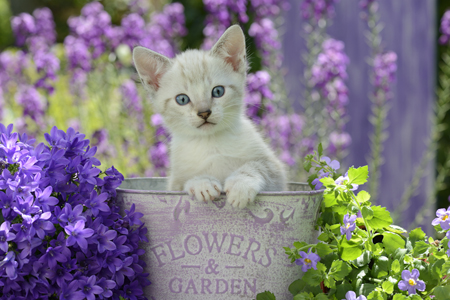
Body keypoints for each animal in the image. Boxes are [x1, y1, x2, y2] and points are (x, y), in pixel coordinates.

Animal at [132, 24, 286, 209]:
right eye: (182, 99)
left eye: (218, 91)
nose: (204, 112)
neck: (211, 144)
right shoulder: (175, 183)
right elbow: (186, 182)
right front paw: (202, 183)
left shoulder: (275, 172)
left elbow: (256, 166)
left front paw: (240, 185)